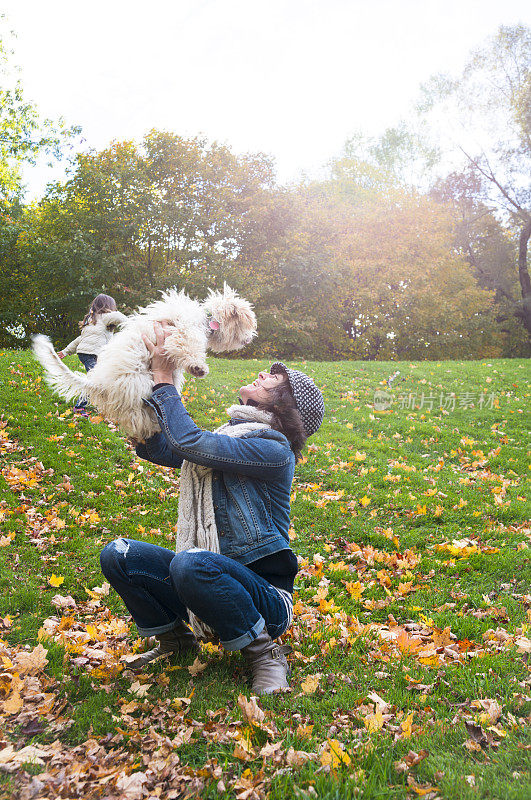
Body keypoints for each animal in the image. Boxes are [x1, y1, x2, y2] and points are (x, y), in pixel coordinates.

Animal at [32, 286, 258, 440]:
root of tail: (100, 384)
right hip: (141, 386)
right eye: (246, 324)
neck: (206, 318)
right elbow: (188, 347)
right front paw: (198, 367)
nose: (249, 339)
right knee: (138, 419)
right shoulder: (181, 332)